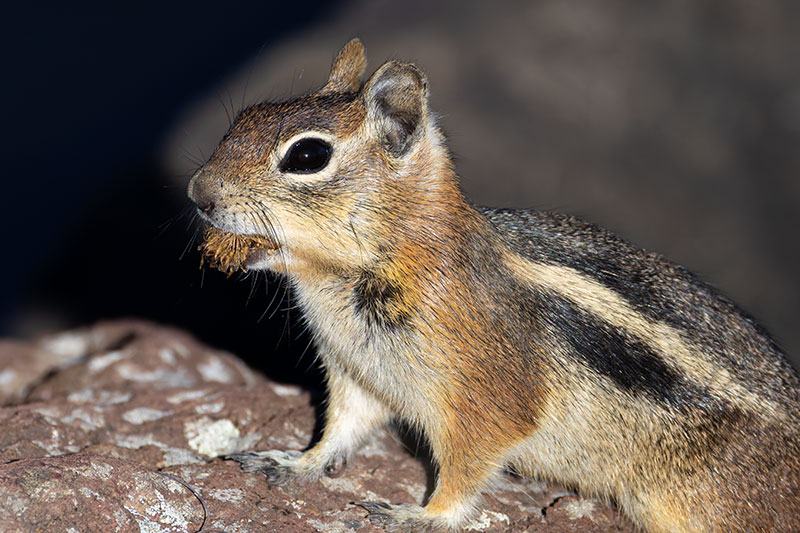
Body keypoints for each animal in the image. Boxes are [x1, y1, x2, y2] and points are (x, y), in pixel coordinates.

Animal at [187, 39, 800, 532]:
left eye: (308, 155)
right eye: (245, 116)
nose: (198, 193)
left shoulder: (486, 400)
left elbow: (467, 469)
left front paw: (423, 516)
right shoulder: (359, 374)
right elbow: (341, 428)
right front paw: (295, 461)